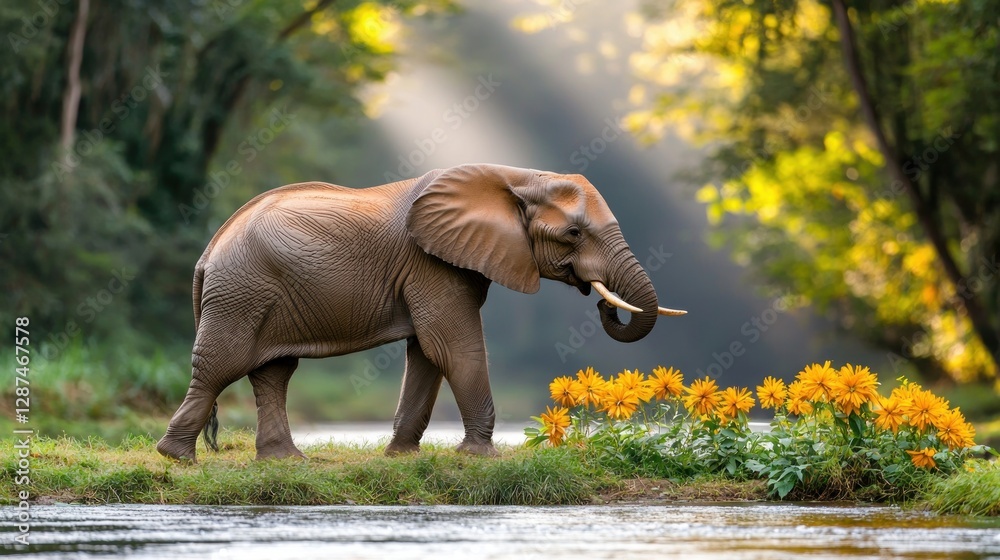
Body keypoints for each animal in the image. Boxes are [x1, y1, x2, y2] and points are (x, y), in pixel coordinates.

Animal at [156, 163, 686, 461]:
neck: (517, 177)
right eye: (574, 234)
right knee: (221, 367)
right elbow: (452, 345)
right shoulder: (432, 263)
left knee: (273, 373)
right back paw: (178, 458)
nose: (600, 301)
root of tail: (209, 251)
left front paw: (400, 457)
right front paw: (480, 458)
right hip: (241, 293)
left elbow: (428, 354)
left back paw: (284, 462)